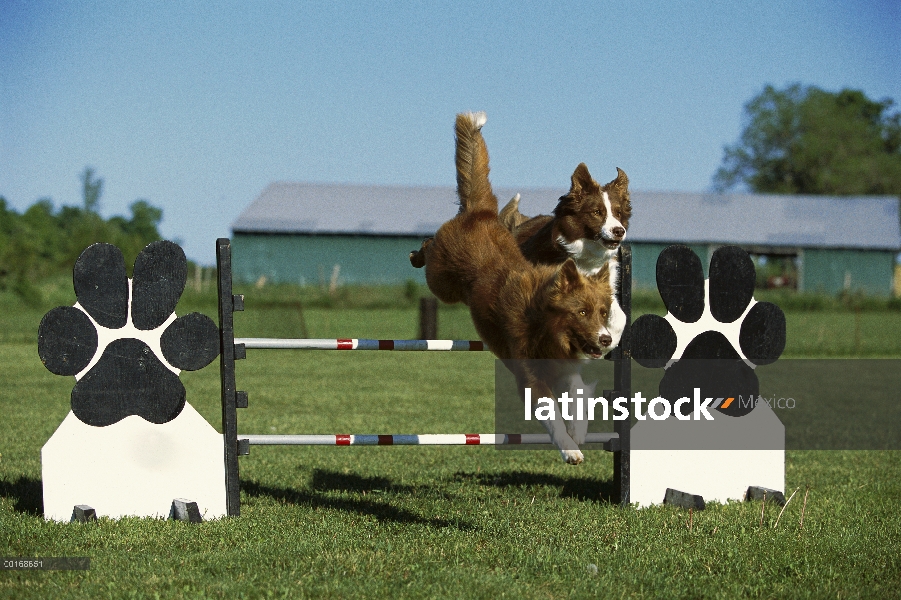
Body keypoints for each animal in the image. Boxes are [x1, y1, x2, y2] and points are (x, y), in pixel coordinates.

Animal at [496, 164, 628, 352]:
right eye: (597, 212)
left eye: (618, 213)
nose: (619, 231)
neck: (587, 253)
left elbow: (619, 315)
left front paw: (610, 339)